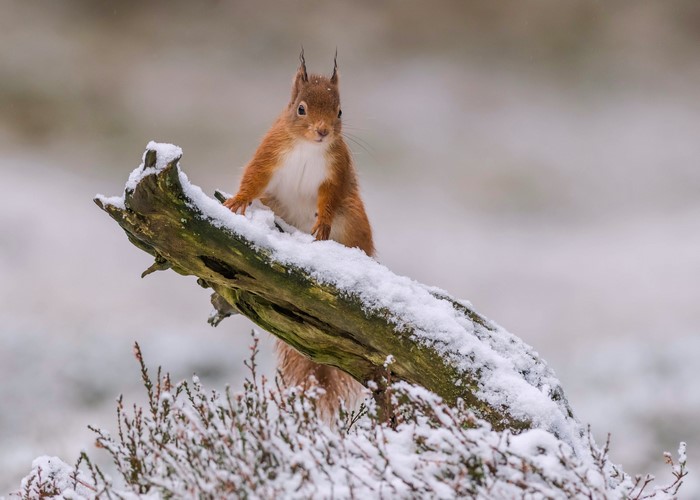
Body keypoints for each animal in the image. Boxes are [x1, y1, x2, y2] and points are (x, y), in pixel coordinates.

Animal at [224, 50, 374, 419]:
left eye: (340, 111)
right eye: (301, 109)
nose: (323, 131)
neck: (308, 147)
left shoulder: (336, 172)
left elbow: (328, 199)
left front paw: (322, 225)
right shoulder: (269, 153)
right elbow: (253, 178)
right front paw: (237, 201)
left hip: (354, 218)